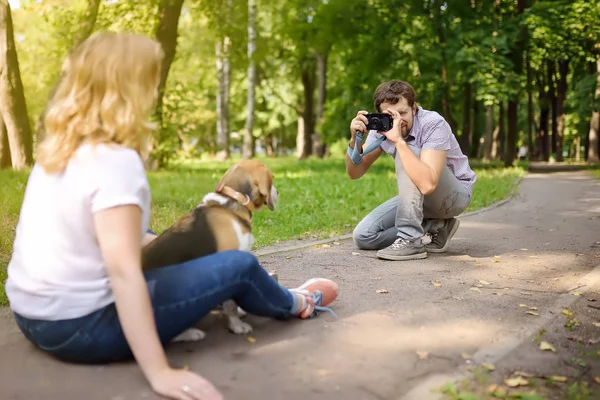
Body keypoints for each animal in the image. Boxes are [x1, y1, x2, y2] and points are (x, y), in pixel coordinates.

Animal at [141, 159, 278, 340]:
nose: (277, 192)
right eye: (272, 179)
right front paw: (237, 326)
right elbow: (230, 304)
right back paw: (191, 333)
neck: (234, 199)